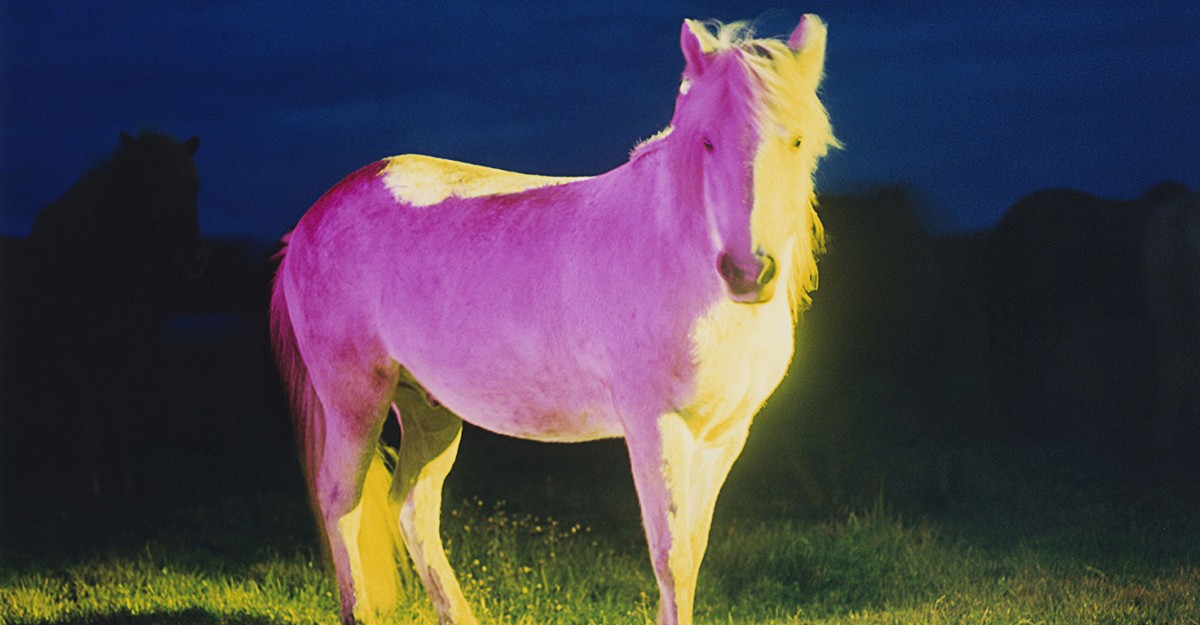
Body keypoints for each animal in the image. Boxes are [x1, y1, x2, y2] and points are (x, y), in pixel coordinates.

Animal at [271, 16, 836, 625]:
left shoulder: (725, 434)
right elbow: (672, 558)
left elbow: (695, 550)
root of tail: (305, 225)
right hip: (355, 400)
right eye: (706, 141)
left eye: (796, 140)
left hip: (428, 408)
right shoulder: (656, 427)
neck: (680, 260)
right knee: (341, 501)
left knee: (413, 508)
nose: (748, 272)